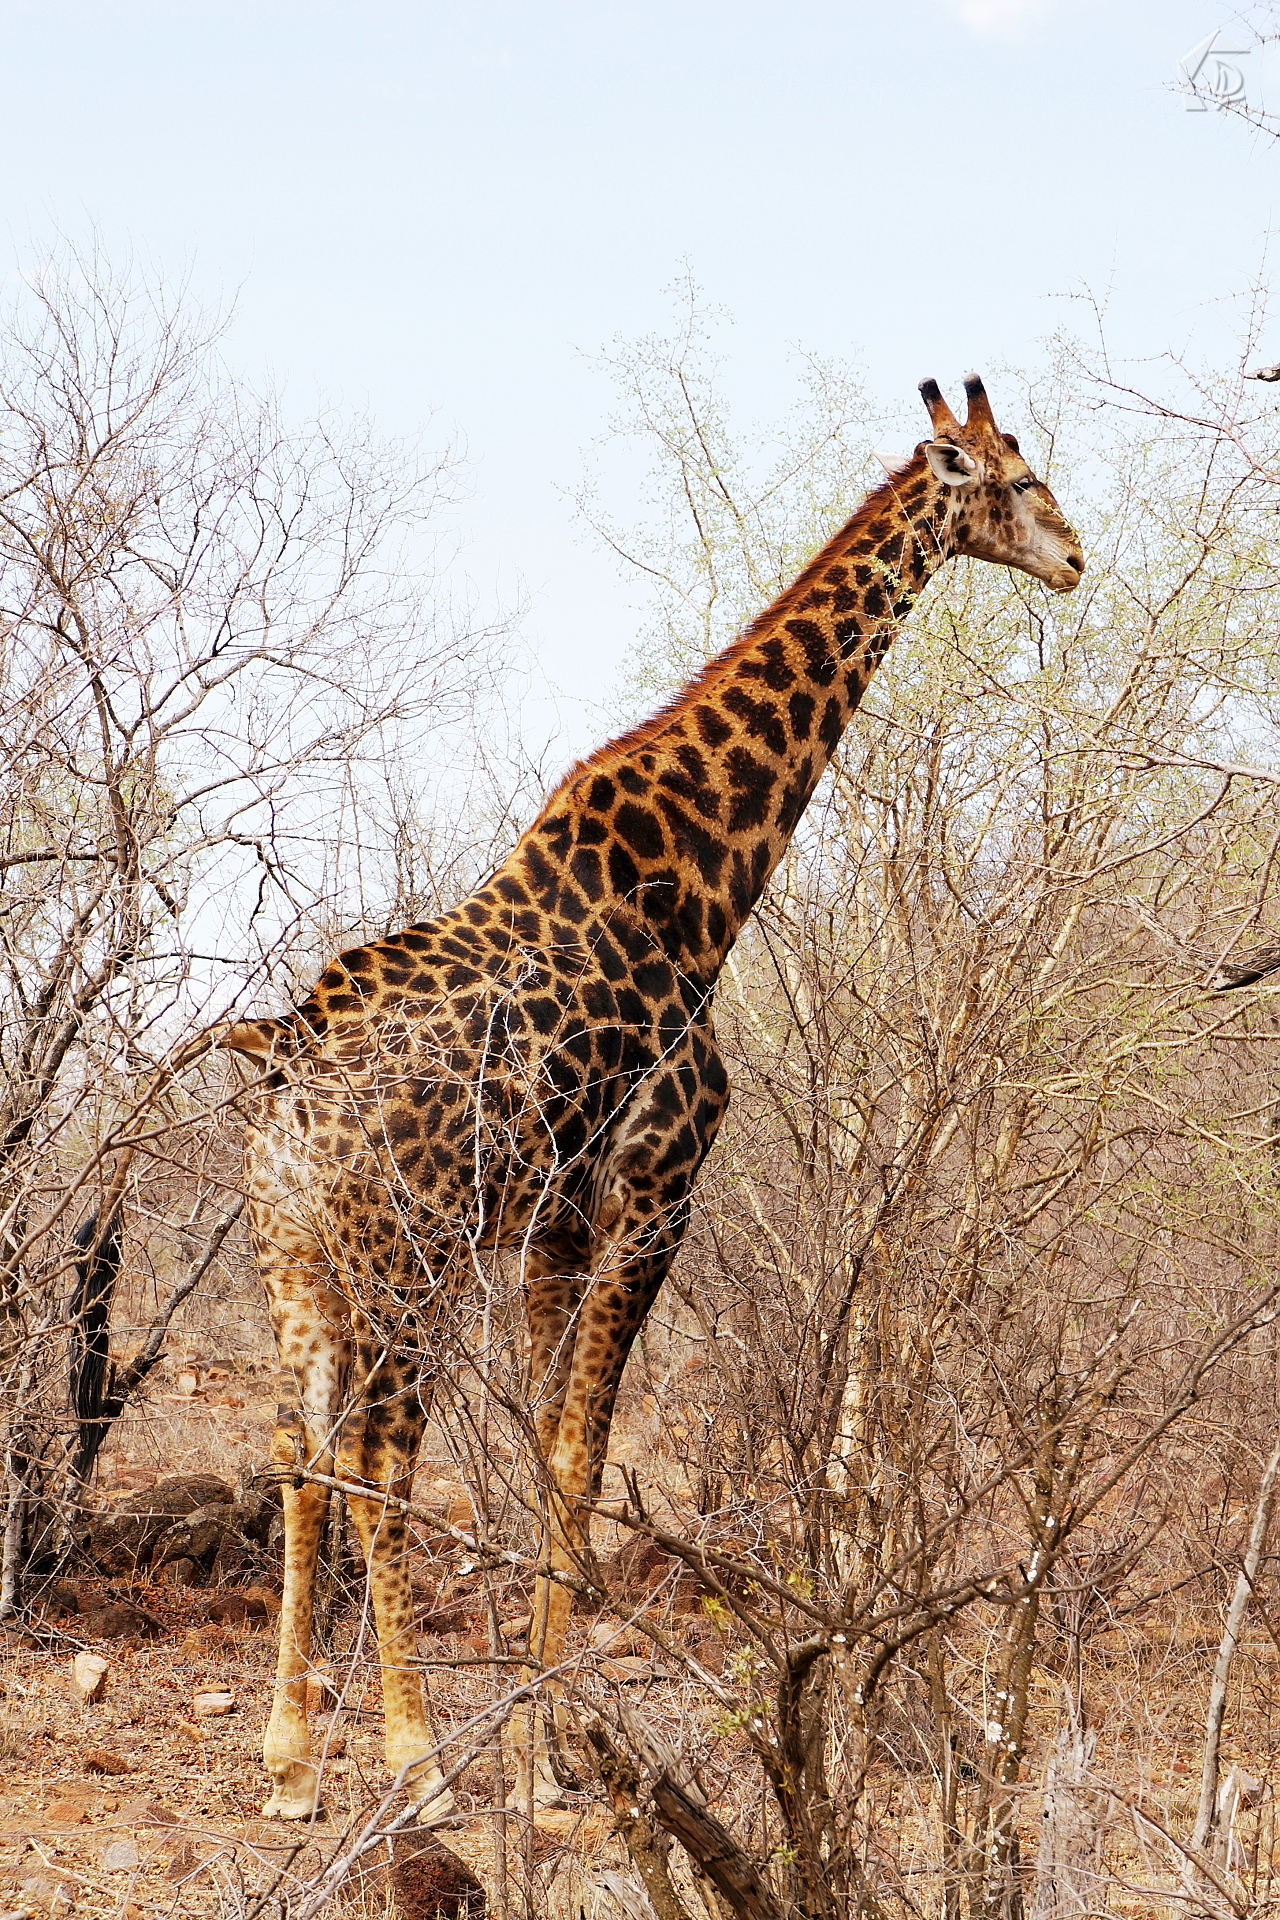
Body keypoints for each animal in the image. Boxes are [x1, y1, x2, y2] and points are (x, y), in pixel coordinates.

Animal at [223, 374, 1083, 1822]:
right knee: (380, 1460)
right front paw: (543, 1758)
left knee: (295, 1448)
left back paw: (290, 1762)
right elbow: (580, 1455)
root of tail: (282, 1066)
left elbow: (541, 1456)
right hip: (404, 1262)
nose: (1076, 557)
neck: (705, 872)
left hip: (298, 1263)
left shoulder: (555, 1228)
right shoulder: (652, 1195)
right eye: (1019, 479)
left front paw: (547, 1739)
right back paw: (411, 1761)